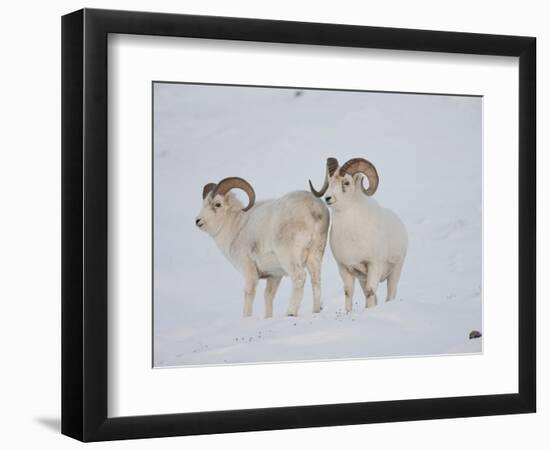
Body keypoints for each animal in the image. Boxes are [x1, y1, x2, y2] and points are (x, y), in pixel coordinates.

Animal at [197, 176, 330, 316]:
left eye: (217, 204)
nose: (198, 221)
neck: (236, 226)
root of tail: (313, 208)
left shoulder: (249, 269)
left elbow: (249, 294)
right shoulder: (274, 275)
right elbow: (268, 296)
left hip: (289, 258)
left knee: (299, 278)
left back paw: (291, 313)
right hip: (315, 255)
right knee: (316, 281)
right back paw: (315, 311)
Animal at [310, 159, 410, 312]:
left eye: (346, 183)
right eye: (330, 181)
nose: (328, 198)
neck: (352, 234)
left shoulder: (374, 265)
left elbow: (370, 291)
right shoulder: (345, 267)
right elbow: (349, 291)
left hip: (395, 272)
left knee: (390, 295)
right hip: (363, 278)